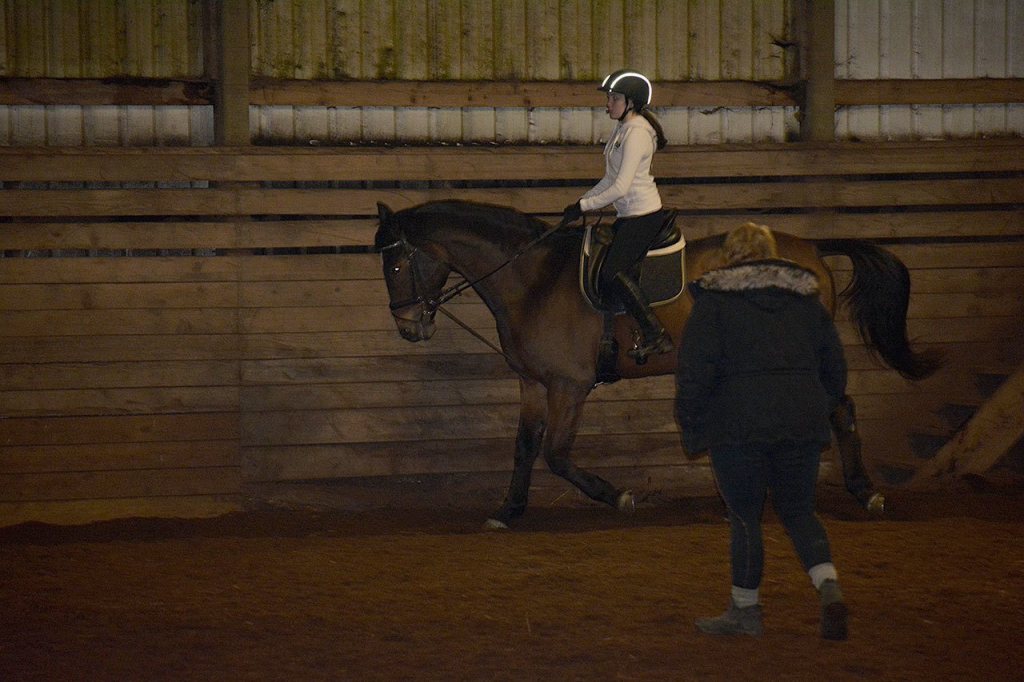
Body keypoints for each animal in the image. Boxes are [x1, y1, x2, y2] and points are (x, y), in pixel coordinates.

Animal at [374, 200, 940, 528]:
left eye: (396, 263)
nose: (408, 326)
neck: (532, 277)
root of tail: (812, 249)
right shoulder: (533, 383)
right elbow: (524, 448)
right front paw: (508, 510)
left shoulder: (569, 385)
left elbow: (556, 454)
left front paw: (620, 496)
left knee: (839, 408)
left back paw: (865, 494)